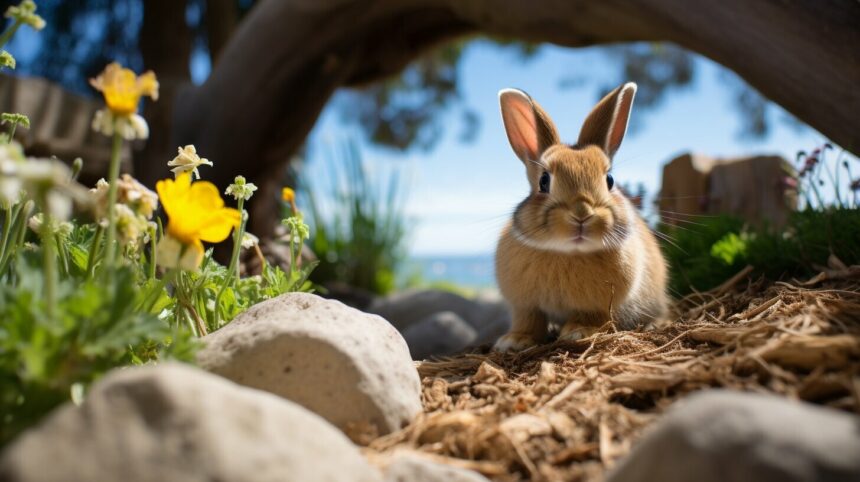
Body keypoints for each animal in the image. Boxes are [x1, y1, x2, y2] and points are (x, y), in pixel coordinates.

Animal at [490, 83, 672, 352]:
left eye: (609, 180)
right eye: (544, 181)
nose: (582, 214)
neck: (568, 252)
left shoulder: (597, 305)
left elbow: (591, 316)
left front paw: (579, 332)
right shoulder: (525, 305)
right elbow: (529, 320)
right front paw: (515, 341)